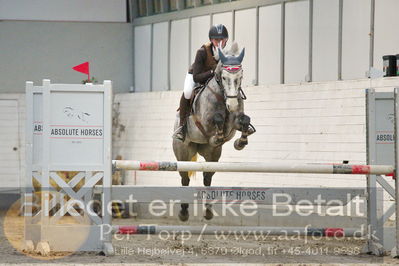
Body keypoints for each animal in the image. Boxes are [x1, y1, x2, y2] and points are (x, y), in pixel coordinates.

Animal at [173, 42, 258, 221]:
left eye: (240, 77)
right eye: (224, 78)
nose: (232, 105)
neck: (222, 96)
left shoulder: (234, 122)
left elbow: (244, 121)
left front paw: (240, 142)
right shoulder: (205, 122)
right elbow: (217, 120)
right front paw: (218, 137)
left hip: (212, 155)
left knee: (207, 177)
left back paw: (208, 211)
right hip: (183, 154)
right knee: (184, 179)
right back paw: (183, 212)